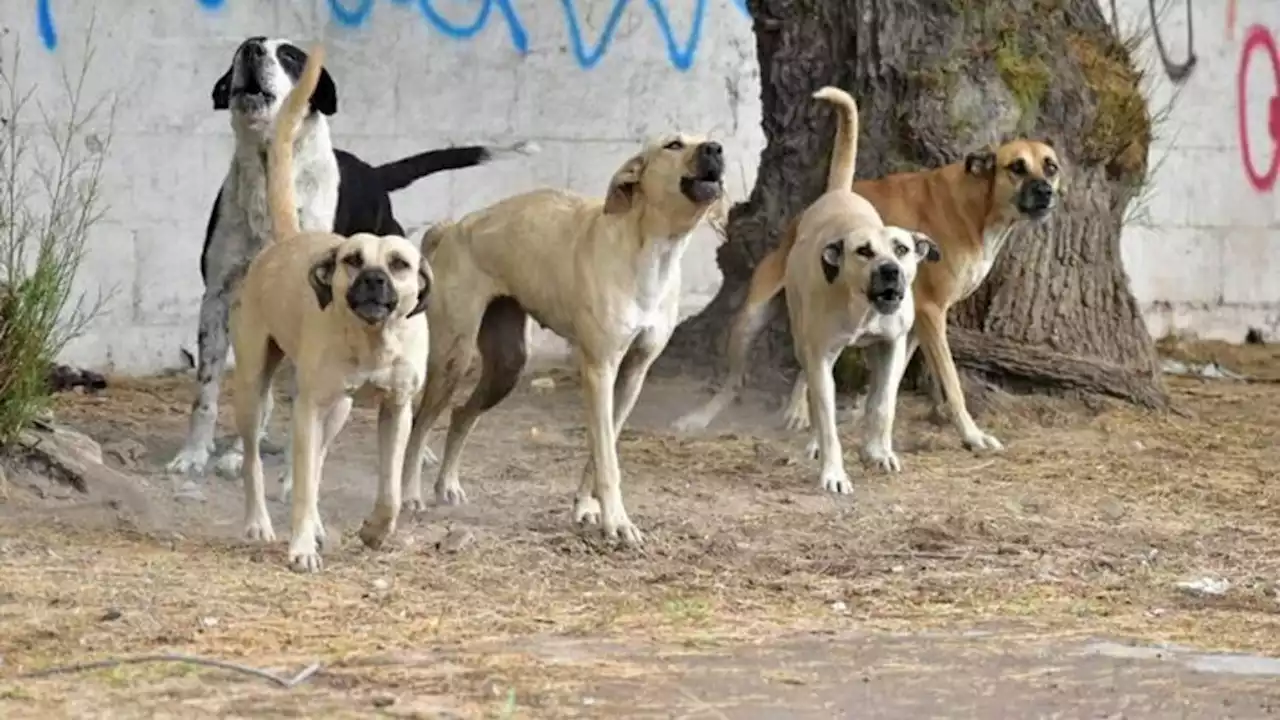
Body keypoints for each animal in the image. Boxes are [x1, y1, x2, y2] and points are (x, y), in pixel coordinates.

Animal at [166, 36, 535, 479]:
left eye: (290, 56)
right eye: (241, 49)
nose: (253, 51)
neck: (270, 177)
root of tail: (375, 174)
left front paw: (284, 465)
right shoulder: (218, 297)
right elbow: (207, 388)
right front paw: (196, 454)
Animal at [227, 44, 432, 571]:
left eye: (400, 264)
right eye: (351, 259)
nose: (373, 279)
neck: (371, 340)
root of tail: (289, 239)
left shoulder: (396, 410)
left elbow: (390, 490)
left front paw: (377, 530)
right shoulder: (306, 409)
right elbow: (300, 486)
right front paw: (300, 546)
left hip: (338, 410)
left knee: (317, 465)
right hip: (255, 389)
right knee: (255, 460)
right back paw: (258, 523)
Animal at [399, 133, 727, 543]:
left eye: (708, 138)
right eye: (674, 144)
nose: (717, 148)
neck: (653, 251)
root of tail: (454, 227)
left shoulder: (632, 374)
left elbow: (602, 450)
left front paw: (588, 508)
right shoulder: (600, 370)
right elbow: (607, 458)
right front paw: (617, 521)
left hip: (507, 366)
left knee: (460, 414)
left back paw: (448, 484)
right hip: (452, 358)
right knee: (419, 424)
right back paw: (409, 493)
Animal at [675, 115, 1064, 450]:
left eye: (1051, 166)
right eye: (1017, 167)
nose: (1046, 191)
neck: (977, 203)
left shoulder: (912, 324)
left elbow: (892, 378)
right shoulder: (932, 313)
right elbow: (952, 383)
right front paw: (972, 435)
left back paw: (799, 409)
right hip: (752, 318)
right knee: (735, 380)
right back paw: (702, 417)